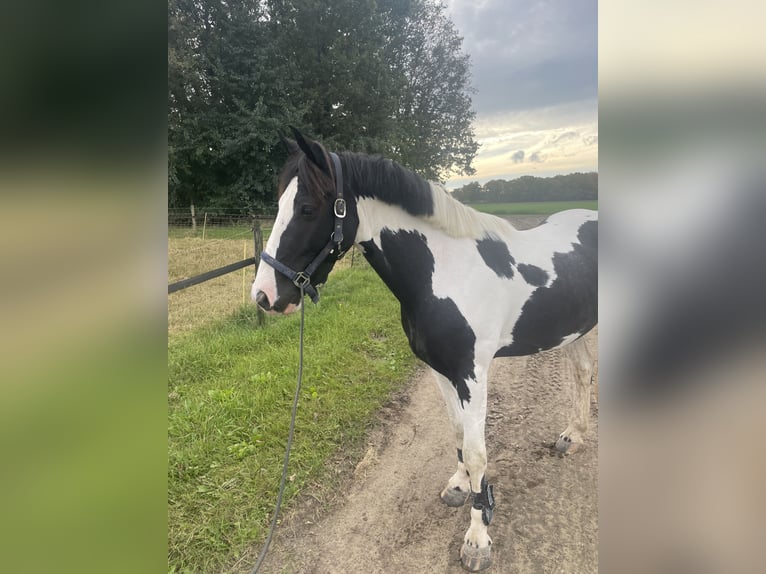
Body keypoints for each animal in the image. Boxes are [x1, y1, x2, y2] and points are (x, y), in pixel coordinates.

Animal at [254, 130, 600, 572]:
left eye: (307, 208)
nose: (264, 295)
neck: (445, 274)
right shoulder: (440, 370)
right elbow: (457, 433)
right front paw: (458, 487)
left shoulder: (472, 374)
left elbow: (477, 452)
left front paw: (477, 539)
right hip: (575, 331)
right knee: (583, 371)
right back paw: (572, 436)